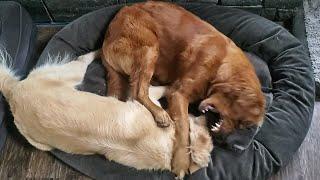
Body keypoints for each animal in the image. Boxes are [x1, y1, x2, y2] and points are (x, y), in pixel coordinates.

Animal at [0, 50, 215, 174]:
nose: (207, 116)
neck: (171, 145)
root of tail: (13, 91)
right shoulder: (150, 97)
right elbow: (164, 89)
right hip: (74, 72)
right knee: (83, 57)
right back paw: (97, 52)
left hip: (40, 143)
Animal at [102, 1, 264, 177]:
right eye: (244, 124)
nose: (229, 144)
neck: (221, 63)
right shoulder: (178, 94)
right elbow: (184, 127)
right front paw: (181, 162)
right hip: (150, 47)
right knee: (138, 92)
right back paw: (160, 114)